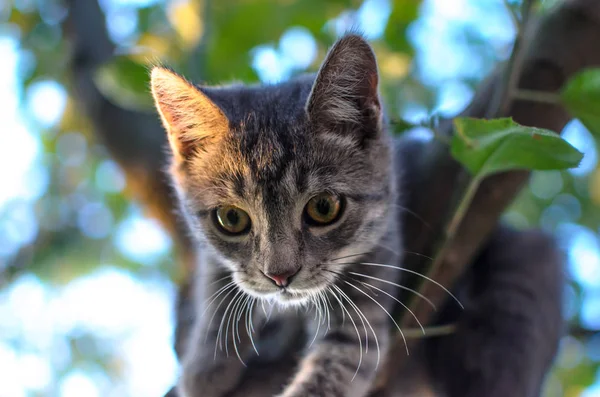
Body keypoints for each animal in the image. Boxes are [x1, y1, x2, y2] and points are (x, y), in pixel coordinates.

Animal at [149, 34, 564, 396]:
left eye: (323, 208)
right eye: (231, 219)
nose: (280, 276)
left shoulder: (373, 277)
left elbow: (340, 365)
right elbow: (216, 279)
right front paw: (206, 364)